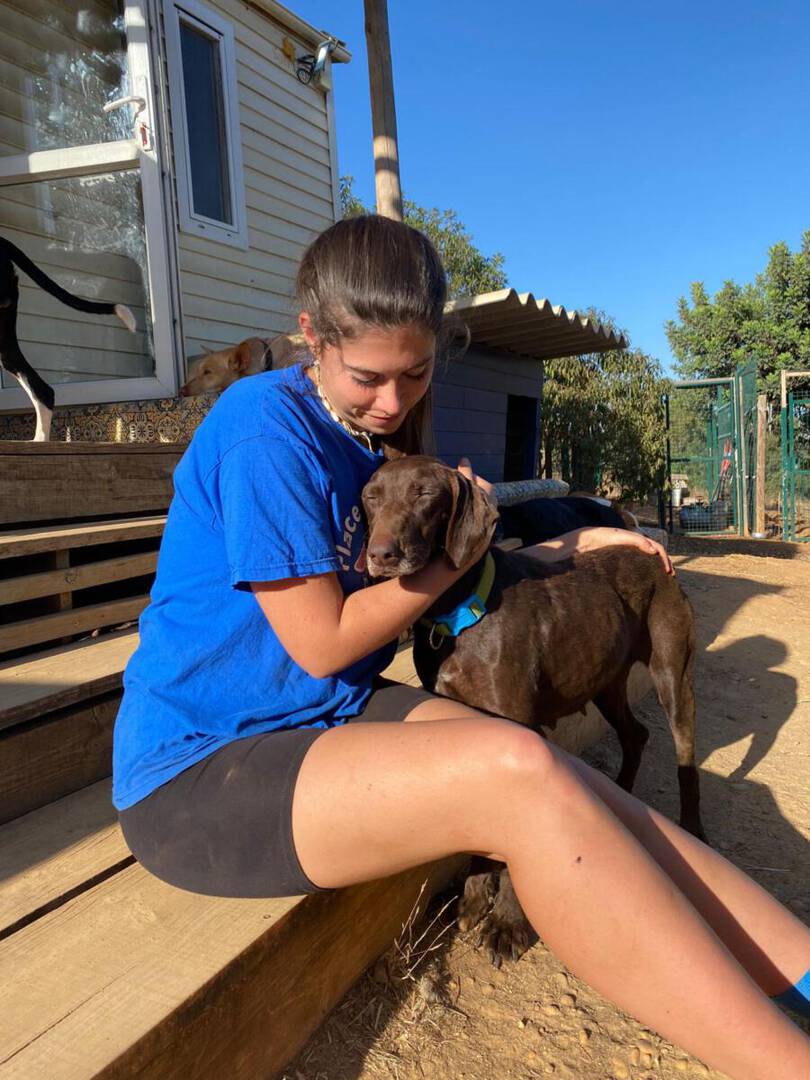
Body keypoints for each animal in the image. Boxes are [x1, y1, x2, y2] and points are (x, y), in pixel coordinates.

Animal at [362, 455, 704, 964]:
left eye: (425, 493)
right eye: (371, 496)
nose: (381, 554)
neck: (458, 612)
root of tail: (652, 552)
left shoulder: (520, 730)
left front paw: (508, 923)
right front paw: (474, 899)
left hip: (671, 676)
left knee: (685, 757)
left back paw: (693, 827)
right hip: (604, 680)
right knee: (635, 735)